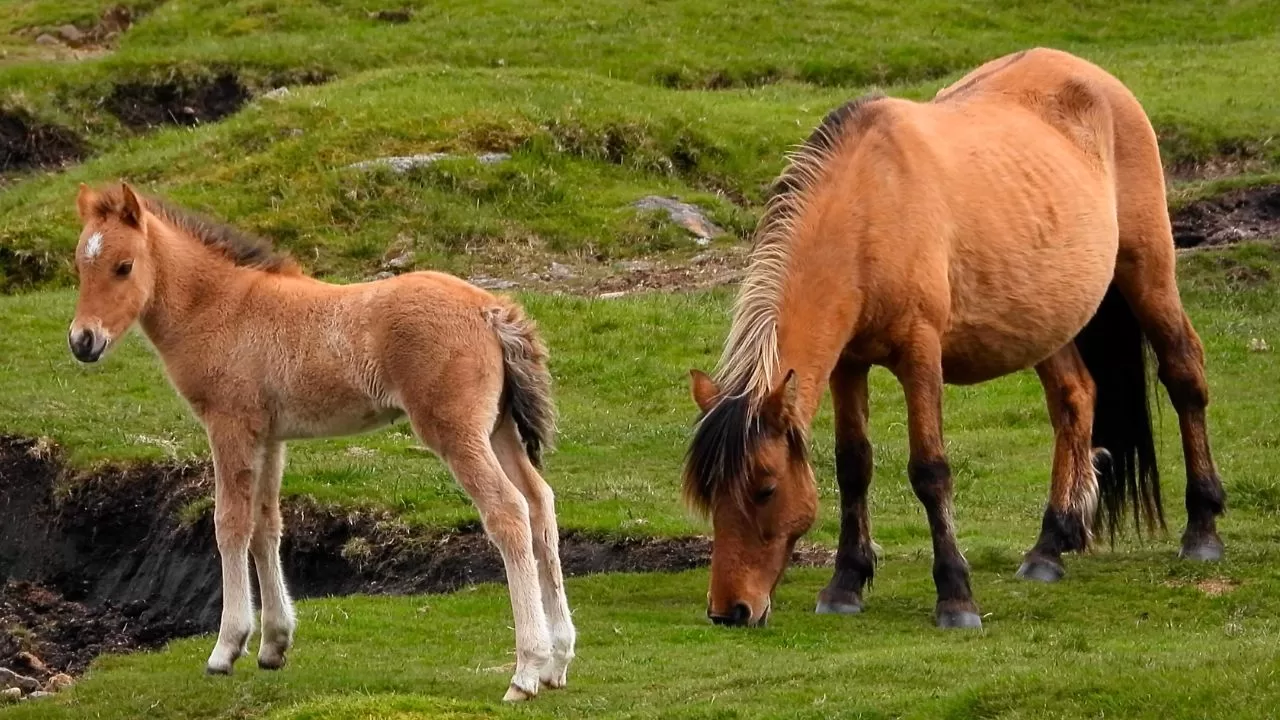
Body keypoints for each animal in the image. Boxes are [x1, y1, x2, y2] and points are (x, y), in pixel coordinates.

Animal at [66, 183, 575, 701]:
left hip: (457, 431)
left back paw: (526, 672)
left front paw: (226, 648)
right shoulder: (269, 436)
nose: (83, 342)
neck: (219, 306)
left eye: (124, 266)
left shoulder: (229, 424)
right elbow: (266, 525)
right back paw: (556, 663)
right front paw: (274, 644)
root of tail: (490, 311)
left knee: (508, 511)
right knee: (540, 503)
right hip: (499, 430)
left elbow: (229, 524)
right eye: (80, 265)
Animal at [683, 48, 1225, 629]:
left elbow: (930, 471)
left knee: (1184, 371)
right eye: (709, 494)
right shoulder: (848, 363)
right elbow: (853, 465)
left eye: (765, 488)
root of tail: (1096, 79)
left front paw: (955, 595)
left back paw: (1202, 527)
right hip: (1046, 318)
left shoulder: (921, 354)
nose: (730, 610)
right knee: (1075, 398)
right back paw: (1050, 545)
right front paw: (846, 583)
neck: (870, 207)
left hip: (1147, 270)